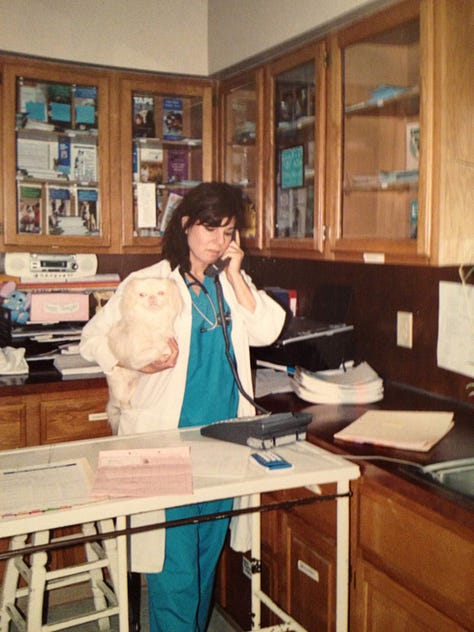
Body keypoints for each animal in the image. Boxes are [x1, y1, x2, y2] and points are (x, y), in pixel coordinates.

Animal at [106, 278, 182, 434]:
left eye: (160, 293)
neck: (152, 320)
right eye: (142, 295)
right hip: (120, 386)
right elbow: (154, 349)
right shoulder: (136, 357)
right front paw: (164, 351)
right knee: (123, 403)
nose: (151, 297)